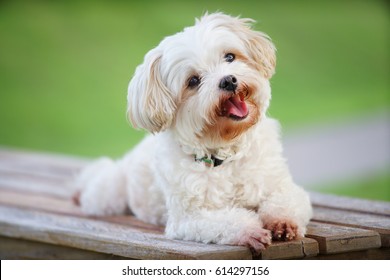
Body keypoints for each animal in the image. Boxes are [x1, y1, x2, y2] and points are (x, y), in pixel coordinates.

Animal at [75, 12, 314, 254]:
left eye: (229, 57)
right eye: (193, 81)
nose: (228, 80)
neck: (226, 153)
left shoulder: (282, 186)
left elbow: (286, 201)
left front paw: (282, 222)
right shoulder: (189, 219)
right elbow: (227, 221)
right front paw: (249, 230)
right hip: (107, 195)